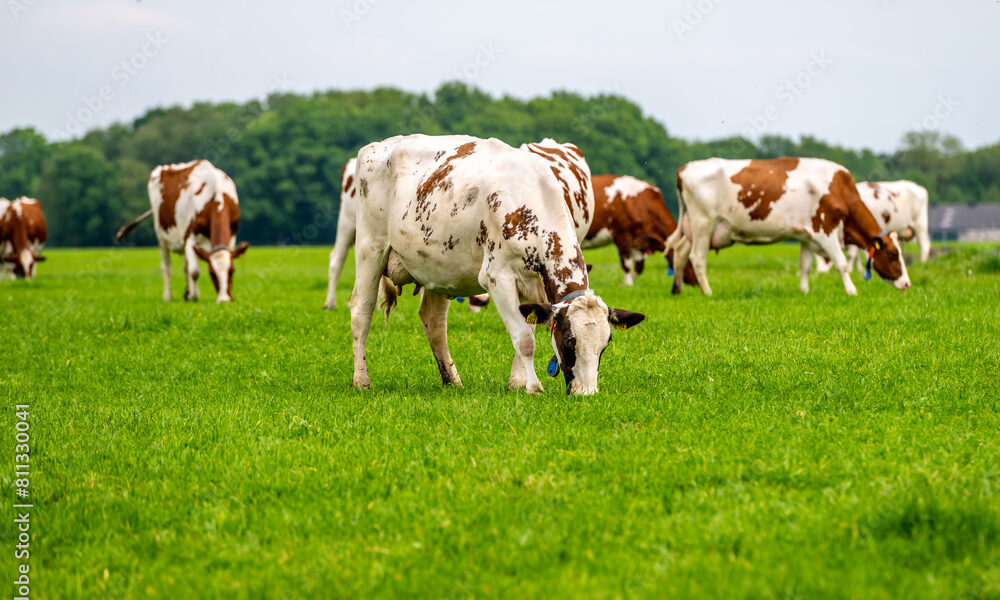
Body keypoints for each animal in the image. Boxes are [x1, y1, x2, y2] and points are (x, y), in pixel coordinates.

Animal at [114, 159, 249, 302]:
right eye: (212, 273)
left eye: (232, 271)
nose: (224, 299)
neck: (216, 196)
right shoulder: (189, 237)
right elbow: (194, 271)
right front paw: (194, 296)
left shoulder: (231, 236)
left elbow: (191, 268)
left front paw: (191, 295)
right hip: (161, 236)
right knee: (167, 267)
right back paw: (168, 296)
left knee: (185, 266)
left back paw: (187, 293)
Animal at [352, 137, 644, 398]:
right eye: (570, 340)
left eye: (605, 345)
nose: (587, 393)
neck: (530, 199)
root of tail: (380, 145)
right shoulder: (498, 278)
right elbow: (524, 338)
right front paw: (533, 387)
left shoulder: (534, 287)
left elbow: (528, 328)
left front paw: (516, 383)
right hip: (370, 248)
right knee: (360, 312)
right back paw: (361, 381)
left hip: (437, 267)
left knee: (433, 320)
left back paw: (452, 380)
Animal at [668, 156, 912, 294]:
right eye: (893, 254)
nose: (907, 284)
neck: (840, 189)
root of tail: (685, 168)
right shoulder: (825, 229)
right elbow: (841, 263)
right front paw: (852, 291)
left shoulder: (807, 235)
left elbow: (804, 265)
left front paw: (804, 291)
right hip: (704, 224)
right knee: (697, 259)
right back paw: (708, 292)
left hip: (693, 229)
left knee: (680, 253)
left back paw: (677, 289)